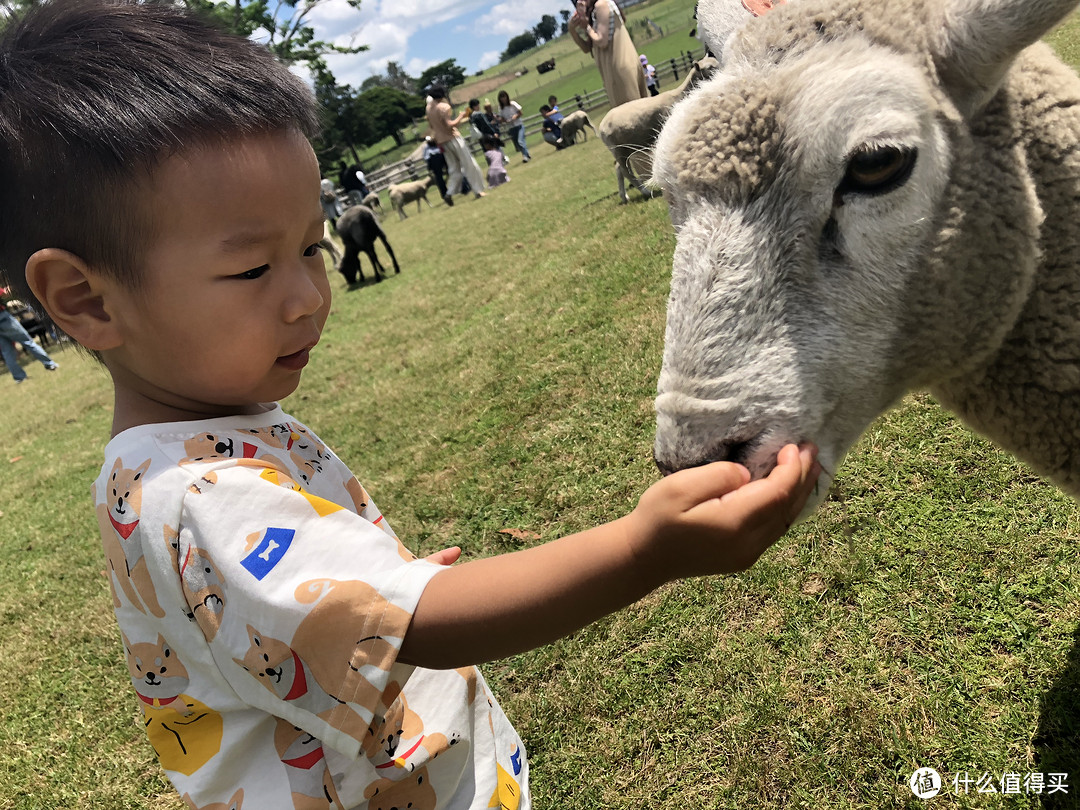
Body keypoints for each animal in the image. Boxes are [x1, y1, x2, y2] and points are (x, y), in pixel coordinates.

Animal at [600, 55, 717, 204]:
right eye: (709, 68)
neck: (681, 94)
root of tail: (602, 125)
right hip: (618, 149)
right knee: (626, 171)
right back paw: (644, 191)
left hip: (623, 148)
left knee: (619, 168)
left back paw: (624, 196)